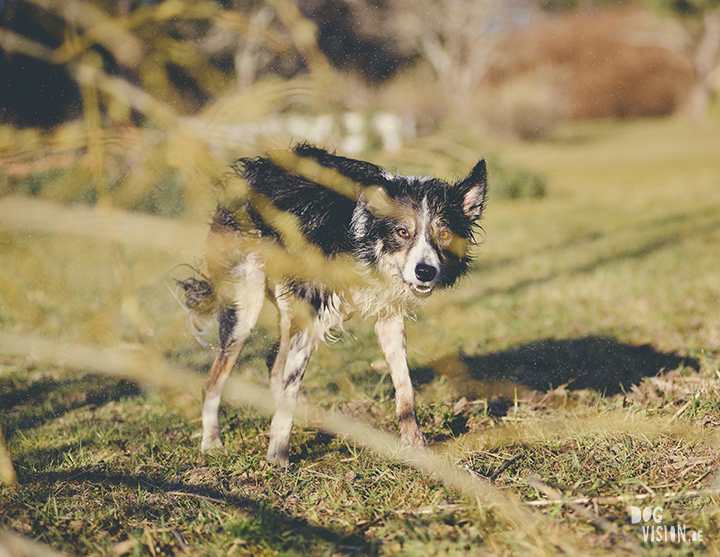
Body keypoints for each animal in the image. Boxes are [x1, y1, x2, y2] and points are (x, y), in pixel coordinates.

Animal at [180, 143, 486, 464]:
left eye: (444, 233)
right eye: (403, 232)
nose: (425, 271)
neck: (365, 244)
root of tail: (248, 171)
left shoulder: (388, 315)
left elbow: (405, 386)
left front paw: (415, 443)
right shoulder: (310, 313)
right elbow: (290, 385)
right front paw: (278, 457)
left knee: (275, 365)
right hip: (245, 308)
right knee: (214, 381)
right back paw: (211, 442)